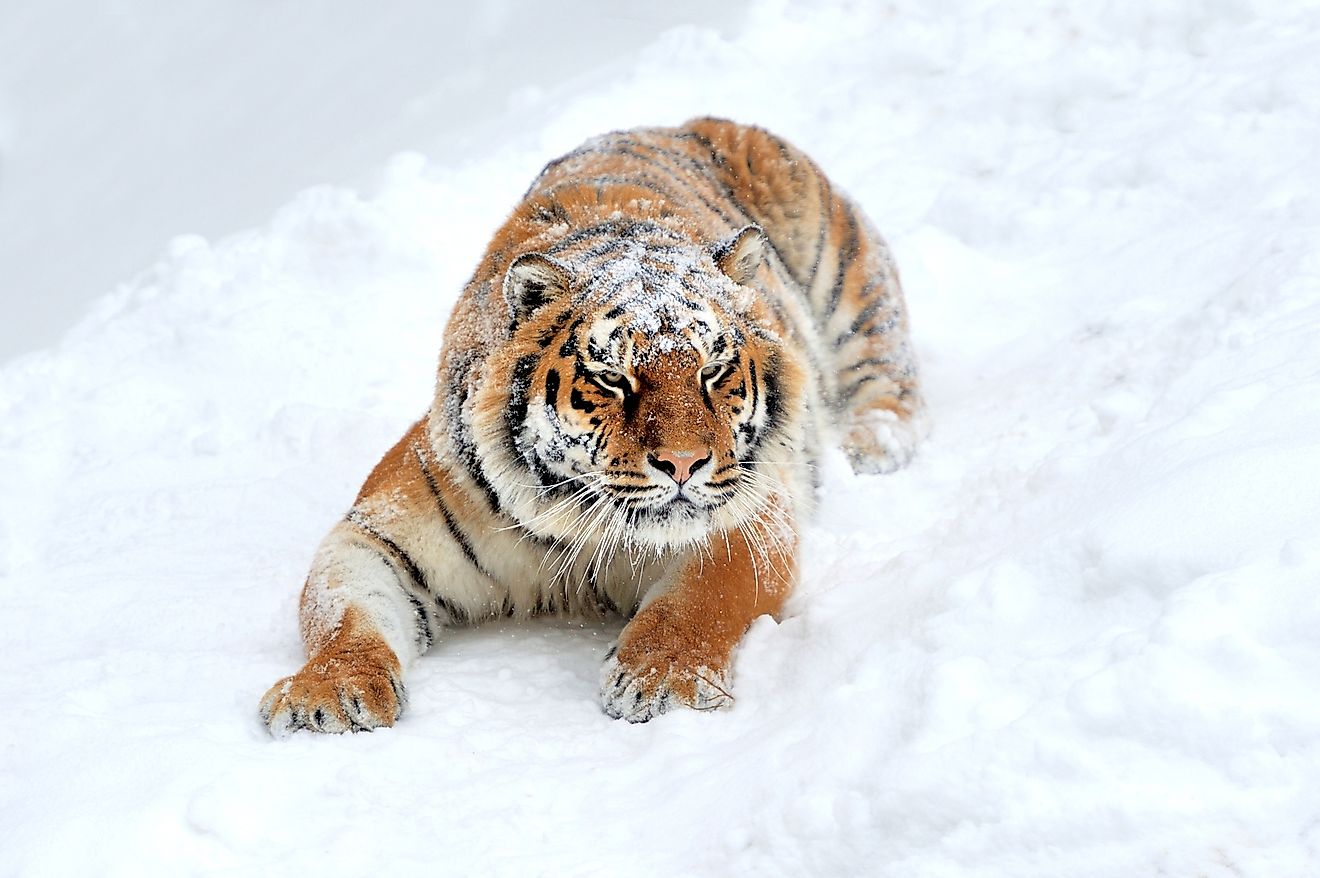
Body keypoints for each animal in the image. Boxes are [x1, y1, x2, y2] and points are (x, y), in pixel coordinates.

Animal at [254, 118, 918, 734]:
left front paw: (661, 681)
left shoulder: (750, 516)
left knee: (885, 367)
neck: (576, 526)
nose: (684, 464)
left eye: (714, 370)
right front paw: (329, 694)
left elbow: (700, 601)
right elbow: (344, 611)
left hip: (845, 272)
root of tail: (672, 123)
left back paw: (872, 446)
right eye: (612, 379)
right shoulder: (378, 531)